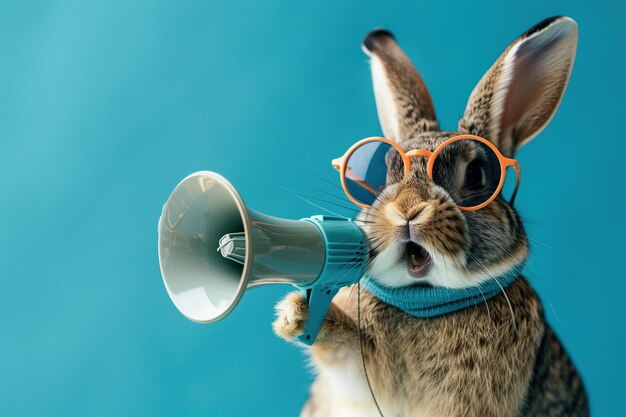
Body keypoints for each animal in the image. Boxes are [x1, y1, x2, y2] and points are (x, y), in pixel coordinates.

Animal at [272, 16, 584, 416]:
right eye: (380, 174)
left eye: (477, 176)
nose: (407, 209)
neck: (425, 302)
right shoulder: (359, 371)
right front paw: (294, 314)